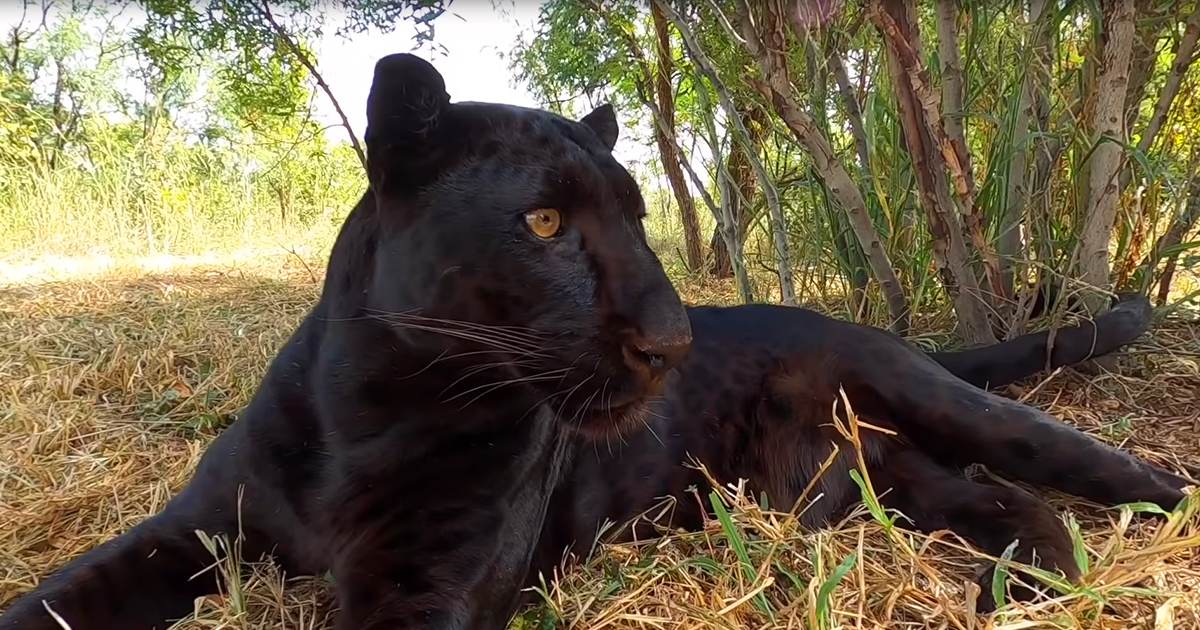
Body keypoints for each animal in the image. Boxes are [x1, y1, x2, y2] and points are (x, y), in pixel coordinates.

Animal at [1, 53, 1190, 630]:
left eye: (637, 214)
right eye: (542, 223)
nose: (674, 338)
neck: (367, 409)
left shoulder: (425, 582)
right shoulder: (193, 531)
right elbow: (53, 601)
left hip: (952, 413)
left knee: (1103, 474)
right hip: (887, 480)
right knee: (1011, 507)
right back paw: (1009, 596)